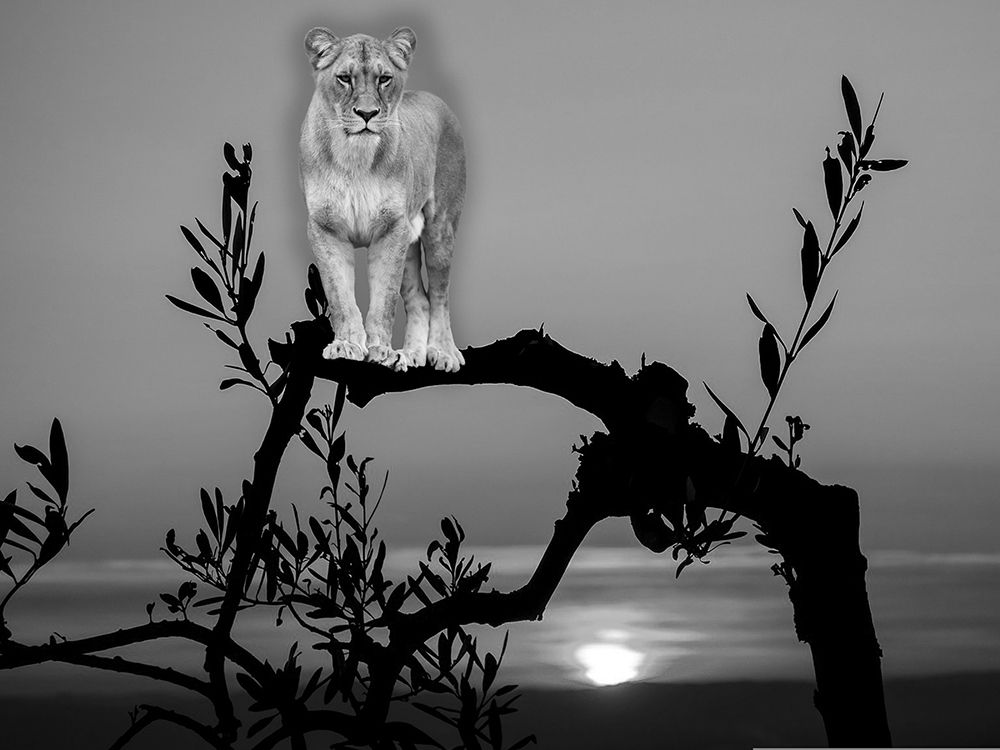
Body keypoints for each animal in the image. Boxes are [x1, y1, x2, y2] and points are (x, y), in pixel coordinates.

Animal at [299, 26, 466, 372]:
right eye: (344, 78)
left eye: (384, 79)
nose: (367, 113)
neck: (354, 158)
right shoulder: (325, 228)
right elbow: (340, 297)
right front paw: (348, 345)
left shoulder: (391, 229)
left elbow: (384, 300)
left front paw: (379, 351)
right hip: (409, 242)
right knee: (420, 300)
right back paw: (411, 355)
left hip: (439, 229)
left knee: (440, 296)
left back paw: (443, 352)